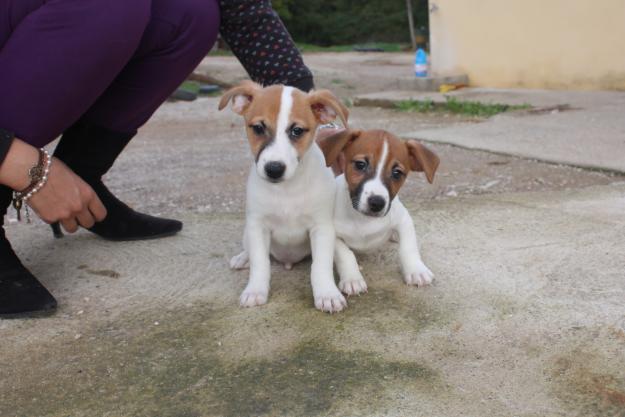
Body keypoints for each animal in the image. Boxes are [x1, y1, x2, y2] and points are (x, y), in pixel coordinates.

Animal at [218, 81, 352, 310]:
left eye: (297, 131)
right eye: (258, 128)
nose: (274, 169)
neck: (287, 190)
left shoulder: (322, 228)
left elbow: (321, 265)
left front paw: (327, 293)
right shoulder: (258, 226)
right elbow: (260, 263)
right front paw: (255, 290)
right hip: (248, 231)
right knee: (250, 250)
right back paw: (242, 258)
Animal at [316, 128, 438, 294]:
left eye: (397, 173)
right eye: (360, 164)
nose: (377, 203)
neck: (363, 219)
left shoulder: (404, 220)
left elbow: (408, 247)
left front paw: (416, 270)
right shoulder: (331, 233)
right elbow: (346, 254)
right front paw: (352, 279)